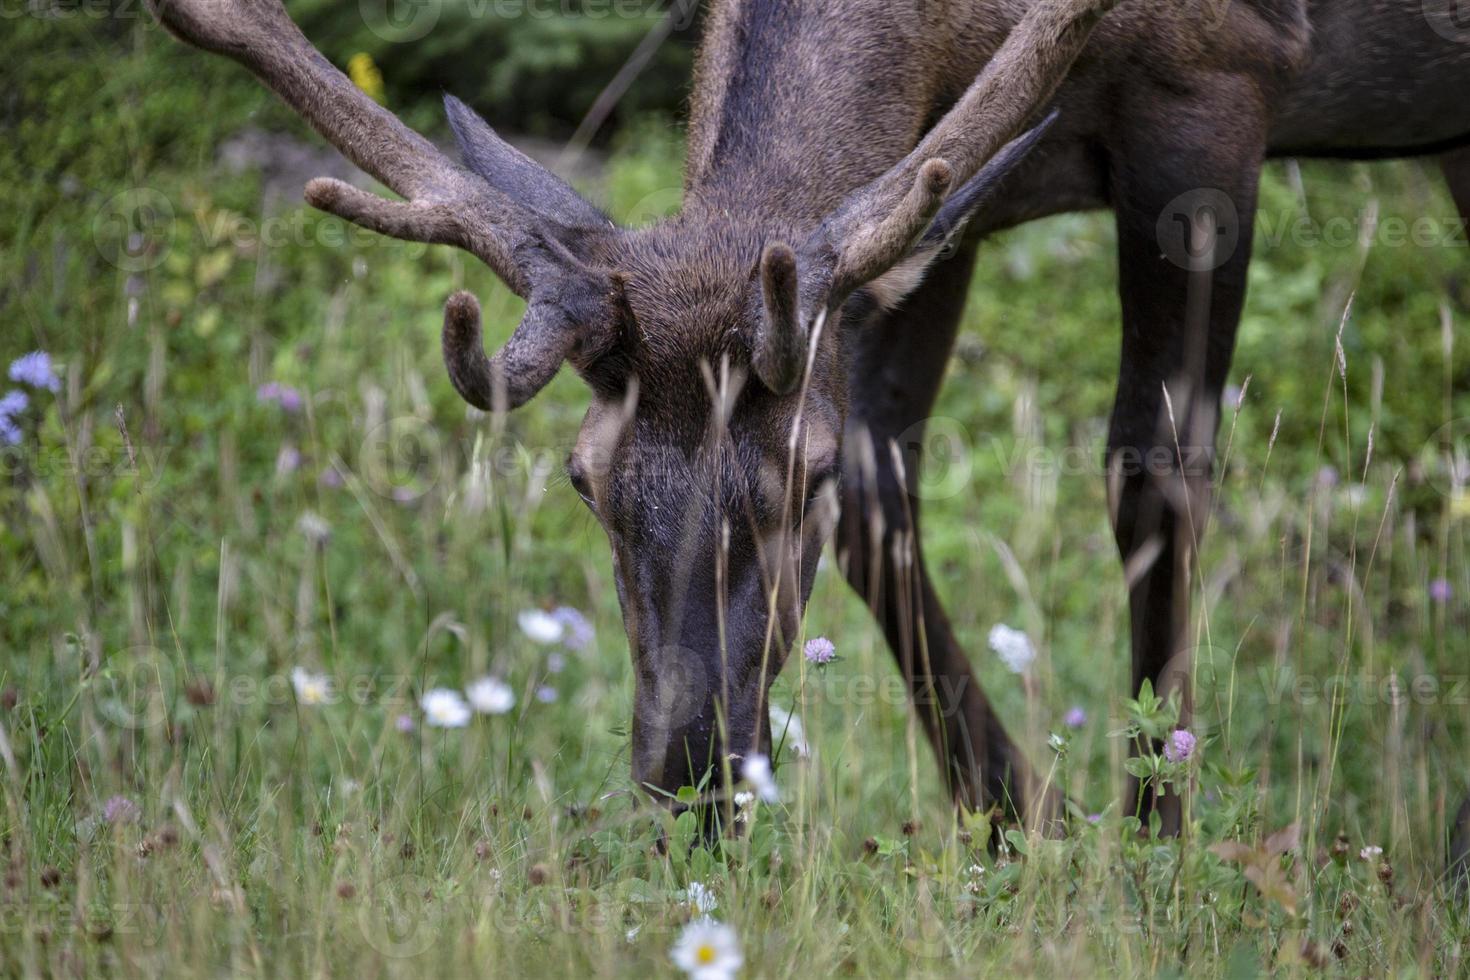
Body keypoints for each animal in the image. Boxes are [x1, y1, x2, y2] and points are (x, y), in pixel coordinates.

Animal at [146, 0, 1470, 834]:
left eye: (802, 475)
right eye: (581, 475)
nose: (690, 778)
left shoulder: (1213, 81)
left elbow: (1153, 467)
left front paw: (1157, 835)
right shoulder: (941, 202)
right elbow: (893, 484)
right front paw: (1021, 824)